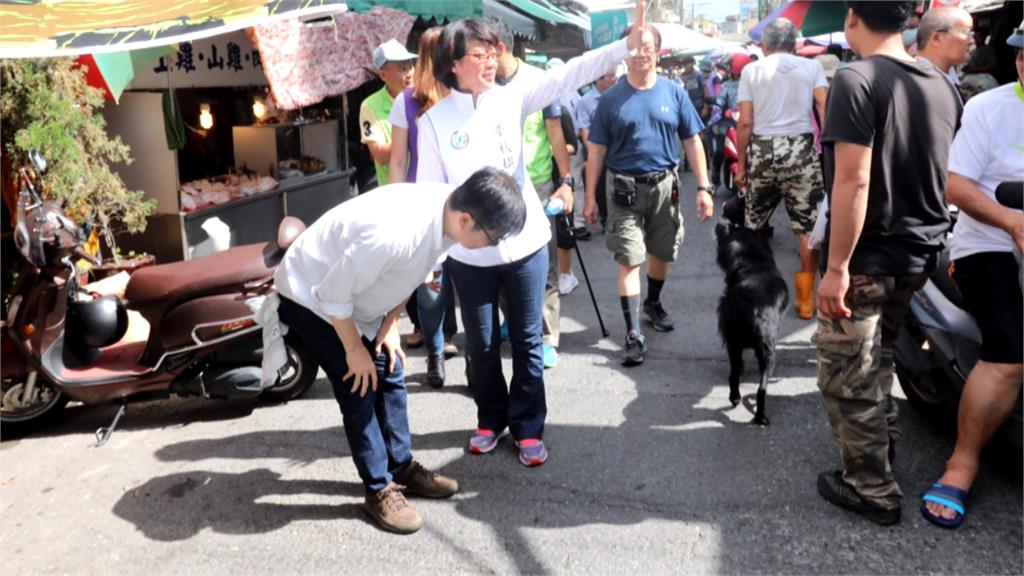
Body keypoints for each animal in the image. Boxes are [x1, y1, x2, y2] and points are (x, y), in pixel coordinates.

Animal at [716, 218, 786, 422]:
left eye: (736, 225)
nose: (722, 220)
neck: (753, 263)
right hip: (768, 355)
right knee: (762, 389)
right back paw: (761, 417)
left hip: (733, 344)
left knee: (734, 375)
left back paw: (735, 398)